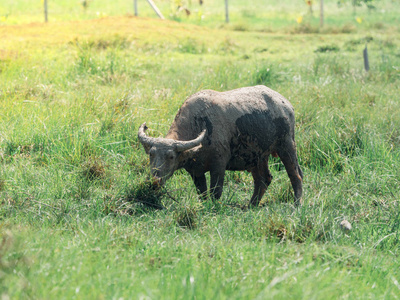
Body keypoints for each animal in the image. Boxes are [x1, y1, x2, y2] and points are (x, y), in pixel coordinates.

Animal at [138, 84, 304, 206]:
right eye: (151, 154)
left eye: (171, 156)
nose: (154, 181)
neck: (200, 124)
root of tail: (286, 105)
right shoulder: (195, 172)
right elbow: (203, 193)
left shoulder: (219, 165)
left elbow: (215, 192)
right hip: (258, 157)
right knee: (263, 179)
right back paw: (251, 205)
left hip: (287, 145)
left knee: (296, 175)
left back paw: (297, 203)